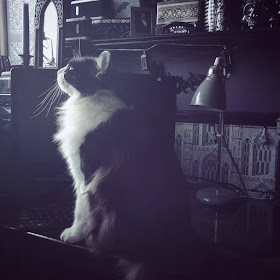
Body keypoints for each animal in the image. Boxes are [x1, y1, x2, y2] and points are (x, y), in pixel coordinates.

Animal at [53, 51, 213, 278]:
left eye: (71, 70)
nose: (58, 70)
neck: (90, 99)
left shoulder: (85, 175)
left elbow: (81, 210)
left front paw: (74, 234)